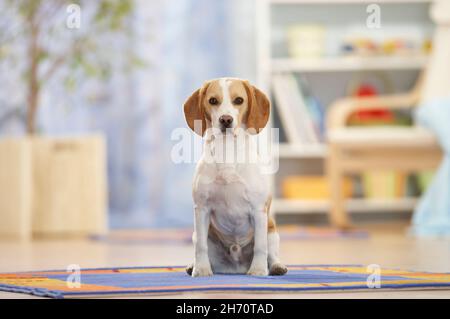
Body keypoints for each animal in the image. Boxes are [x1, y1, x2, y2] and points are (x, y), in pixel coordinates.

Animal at [185, 78, 286, 278]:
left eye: (239, 100)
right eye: (213, 100)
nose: (226, 119)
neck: (227, 151)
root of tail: (236, 268)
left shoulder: (258, 210)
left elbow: (260, 247)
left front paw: (258, 270)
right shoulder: (201, 208)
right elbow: (200, 247)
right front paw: (201, 270)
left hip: (272, 230)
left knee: (272, 253)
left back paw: (276, 267)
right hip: (197, 233)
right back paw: (194, 265)